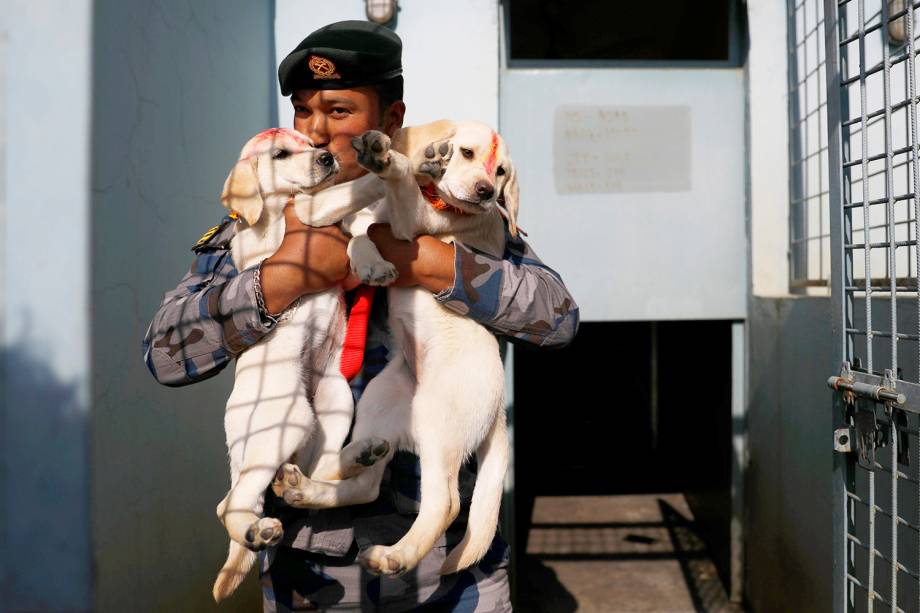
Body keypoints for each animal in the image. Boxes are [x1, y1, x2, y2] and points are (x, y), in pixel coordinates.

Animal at [212, 126, 388, 600]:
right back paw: (256, 532)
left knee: (320, 468)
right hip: (284, 423)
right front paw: (392, 165)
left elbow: (358, 234)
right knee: (228, 503)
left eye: (311, 145)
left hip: (334, 400)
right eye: (280, 153)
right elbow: (353, 191)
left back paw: (360, 453)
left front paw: (374, 260)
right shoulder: (309, 215)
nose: (327, 157)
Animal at [272, 120, 516, 580]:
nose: (485, 194)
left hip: (441, 425)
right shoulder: (336, 214)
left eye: (502, 173)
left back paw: (393, 556)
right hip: (380, 400)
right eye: (469, 153)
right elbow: (359, 233)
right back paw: (320, 476)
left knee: (446, 503)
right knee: (365, 483)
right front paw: (370, 261)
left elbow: (393, 191)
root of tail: (498, 411)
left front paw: (399, 160)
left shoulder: (410, 227)